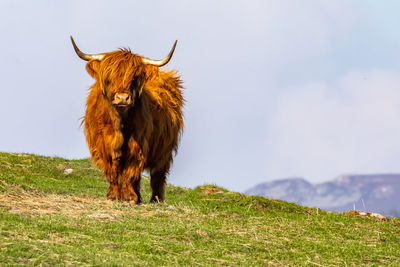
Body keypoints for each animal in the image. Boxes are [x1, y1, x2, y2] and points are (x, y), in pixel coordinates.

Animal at [70, 35, 184, 203]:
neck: (118, 122)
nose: (122, 98)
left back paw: (155, 199)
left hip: (165, 149)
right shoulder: (102, 142)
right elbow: (112, 169)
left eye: (135, 78)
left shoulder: (138, 142)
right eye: (109, 77)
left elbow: (130, 169)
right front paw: (113, 195)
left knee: (158, 175)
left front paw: (129, 197)